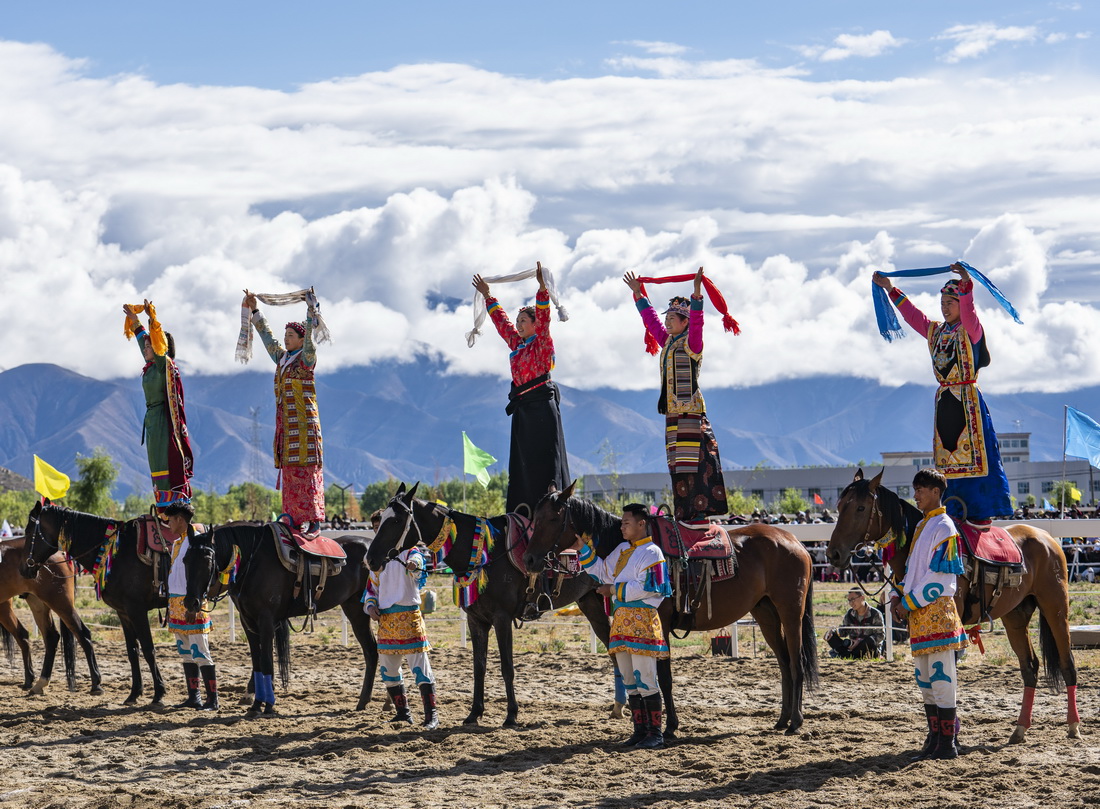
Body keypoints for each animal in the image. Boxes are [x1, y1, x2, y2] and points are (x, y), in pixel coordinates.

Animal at [0, 537, 102, 695]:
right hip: (38, 603)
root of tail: (61, 553)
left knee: (82, 634)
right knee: (48, 636)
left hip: (60, 602)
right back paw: (38, 682)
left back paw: (96, 684)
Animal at [184, 521, 378, 717]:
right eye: (185, 560)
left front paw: (267, 705)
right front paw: (256, 705)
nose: (191, 602)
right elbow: (257, 662)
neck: (252, 562)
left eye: (208, 559)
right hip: (355, 610)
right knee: (371, 651)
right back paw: (364, 702)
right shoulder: (248, 621)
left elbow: (266, 661)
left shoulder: (266, 620)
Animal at [367, 479, 611, 726]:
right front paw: (474, 712)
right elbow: (479, 667)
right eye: (382, 518)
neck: (485, 555)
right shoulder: (476, 620)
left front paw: (511, 714)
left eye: (396, 520)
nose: (370, 559)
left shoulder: (502, 619)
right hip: (591, 603)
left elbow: (507, 667)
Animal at [528, 484, 822, 735]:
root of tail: (795, 542)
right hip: (766, 613)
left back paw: (795, 722)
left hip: (790, 612)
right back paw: (782, 719)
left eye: (552, 518)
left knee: (797, 662)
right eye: (534, 517)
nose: (530, 559)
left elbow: (664, 677)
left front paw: (670, 726)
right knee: (784, 663)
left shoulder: (662, 624)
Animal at [827, 471, 1078, 744]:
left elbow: (948, 677)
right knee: (1029, 666)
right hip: (1015, 616)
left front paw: (950, 737)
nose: (833, 554)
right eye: (840, 506)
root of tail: (1047, 539)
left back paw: (1073, 725)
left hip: (1055, 608)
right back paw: (1020, 729)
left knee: (1067, 661)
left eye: (861, 507)